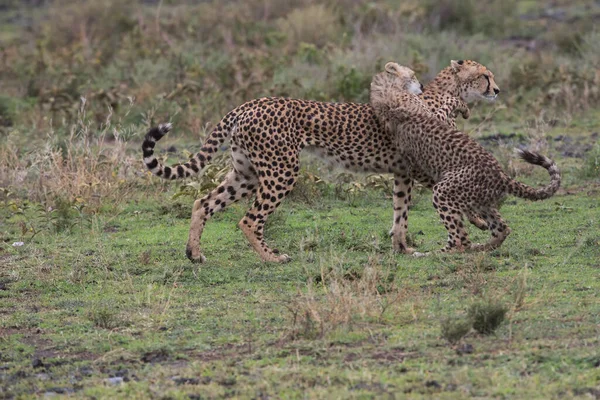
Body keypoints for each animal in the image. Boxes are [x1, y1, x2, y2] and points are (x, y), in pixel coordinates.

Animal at [143, 58, 500, 260]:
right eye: (486, 76)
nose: (497, 90)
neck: (444, 97)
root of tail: (250, 103)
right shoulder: (427, 167)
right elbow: (452, 195)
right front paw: (480, 221)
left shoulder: (403, 172)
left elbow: (400, 213)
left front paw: (403, 248)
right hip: (282, 170)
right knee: (249, 220)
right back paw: (272, 258)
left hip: (247, 173)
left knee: (203, 201)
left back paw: (195, 253)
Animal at [368, 64, 560, 255]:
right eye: (485, 77)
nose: (496, 90)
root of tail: (501, 174)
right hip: (455, 192)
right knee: (474, 236)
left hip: (455, 192)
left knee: (476, 235)